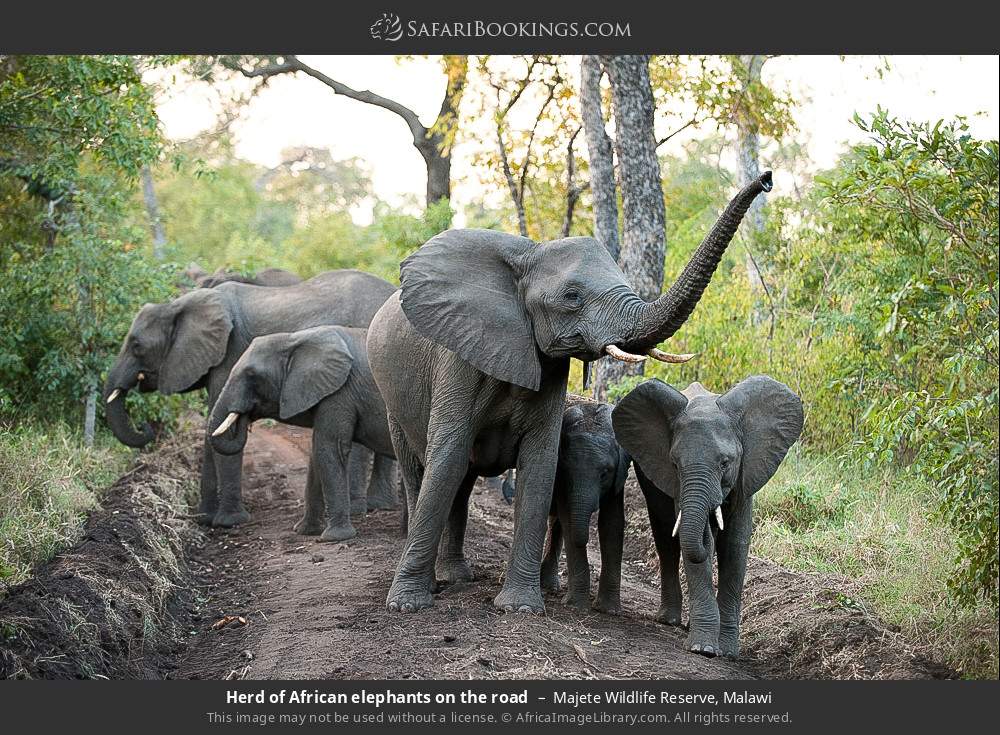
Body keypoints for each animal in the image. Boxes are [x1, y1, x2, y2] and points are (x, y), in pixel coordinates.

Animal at [208, 326, 396, 542]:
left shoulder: (340, 393)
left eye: (252, 374)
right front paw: (305, 531)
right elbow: (317, 454)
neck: (294, 339)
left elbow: (329, 449)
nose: (244, 418)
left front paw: (333, 538)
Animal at [540, 396, 630, 614]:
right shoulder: (561, 478)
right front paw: (576, 605)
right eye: (566, 469)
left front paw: (609, 610)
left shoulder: (618, 478)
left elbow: (612, 523)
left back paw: (549, 586)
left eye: (605, 473)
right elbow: (568, 517)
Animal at [611, 376, 803, 658]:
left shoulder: (746, 474)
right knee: (666, 537)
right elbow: (701, 543)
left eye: (725, 463)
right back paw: (669, 619)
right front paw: (703, 649)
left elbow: (735, 545)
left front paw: (729, 653)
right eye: (675, 464)